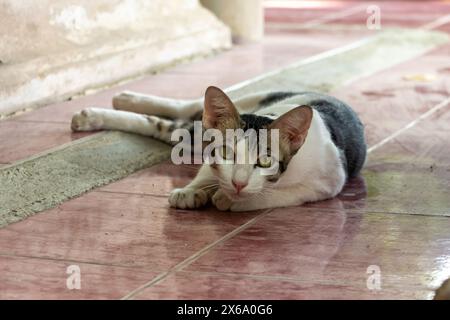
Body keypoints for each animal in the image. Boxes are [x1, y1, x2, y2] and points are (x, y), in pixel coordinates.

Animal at [70, 87, 366, 211]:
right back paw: (113, 104)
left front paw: (230, 199)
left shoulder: (327, 183)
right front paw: (191, 191)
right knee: (183, 110)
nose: (238, 184)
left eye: (264, 161)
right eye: (226, 153)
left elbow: (278, 194)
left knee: (169, 125)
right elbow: (208, 169)